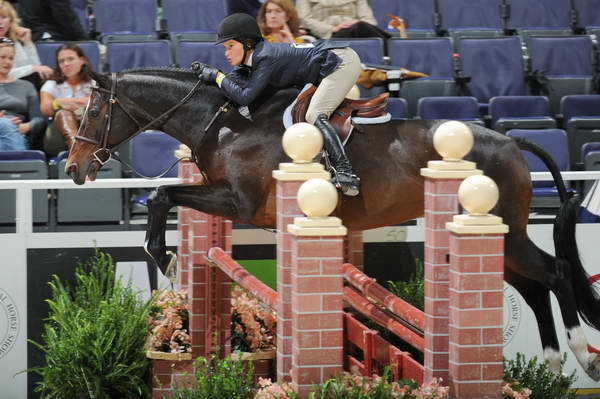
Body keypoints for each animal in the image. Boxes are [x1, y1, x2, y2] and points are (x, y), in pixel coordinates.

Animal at [65, 69, 600, 382]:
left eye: (92, 110)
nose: (74, 168)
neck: (222, 121)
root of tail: (511, 141)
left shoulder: (238, 202)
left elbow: (161, 195)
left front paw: (168, 259)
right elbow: (165, 198)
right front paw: (172, 262)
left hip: (500, 226)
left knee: (552, 273)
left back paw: (582, 355)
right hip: (500, 236)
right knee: (533, 285)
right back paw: (555, 364)